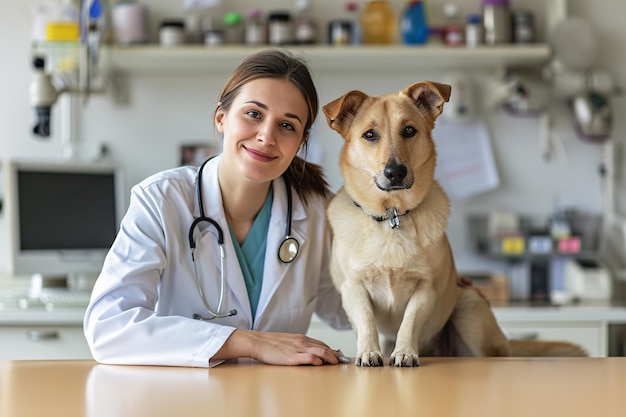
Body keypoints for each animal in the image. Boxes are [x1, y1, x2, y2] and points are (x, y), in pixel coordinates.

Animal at [322, 80, 584, 364]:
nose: (396, 172)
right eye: (369, 135)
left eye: (409, 130)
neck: (392, 215)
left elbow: (409, 322)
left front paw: (404, 352)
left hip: (469, 307)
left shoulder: (426, 290)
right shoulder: (353, 289)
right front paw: (369, 351)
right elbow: (367, 321)